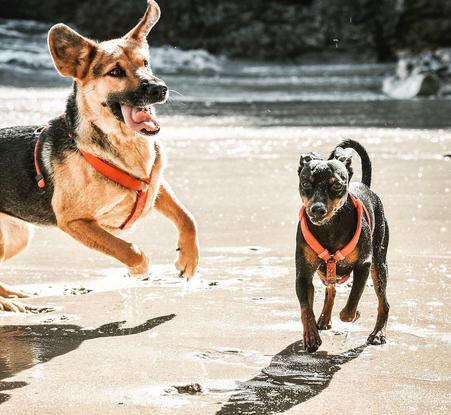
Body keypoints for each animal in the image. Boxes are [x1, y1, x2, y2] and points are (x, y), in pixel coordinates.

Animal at [0, 0, 200, 312]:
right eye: (115, 72)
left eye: (145, 63)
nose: (159, 88)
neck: (124, 145)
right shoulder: (75, 222)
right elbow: (129, 249)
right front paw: (138, 270)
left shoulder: (155, 187)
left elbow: (187, 218)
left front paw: (188, 260)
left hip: (18, 236)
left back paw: (12, 296)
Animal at [296, 141, 388, 354]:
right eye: (306, 183)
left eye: (337, 185)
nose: (317, 209)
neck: (329, 227)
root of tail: (365, 185)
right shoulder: (303, 273)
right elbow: (306, 308)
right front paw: (311, 336)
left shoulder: (364, 264)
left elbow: (352, 302)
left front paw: (354, 314)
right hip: (324, 273)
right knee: (331, 289)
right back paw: (324, 319)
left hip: (378, 265)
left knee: (384, 303)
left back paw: (378, 334)